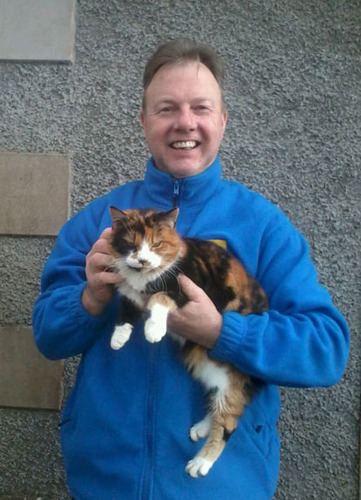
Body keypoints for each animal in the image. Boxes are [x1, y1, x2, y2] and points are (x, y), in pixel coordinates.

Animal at [107, 206, 268, 476]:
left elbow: (160, 298)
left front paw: (153, 330)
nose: (142, 260)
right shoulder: (130, 294)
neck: (144, 276)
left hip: (232, 372)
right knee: (223, 405)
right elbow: (126, 310)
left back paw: (201, 463)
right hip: (210, 369)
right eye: (131, 244)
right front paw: (118, 338)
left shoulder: (186, 288)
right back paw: (201, 428)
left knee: (229, 423)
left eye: (157, 244)